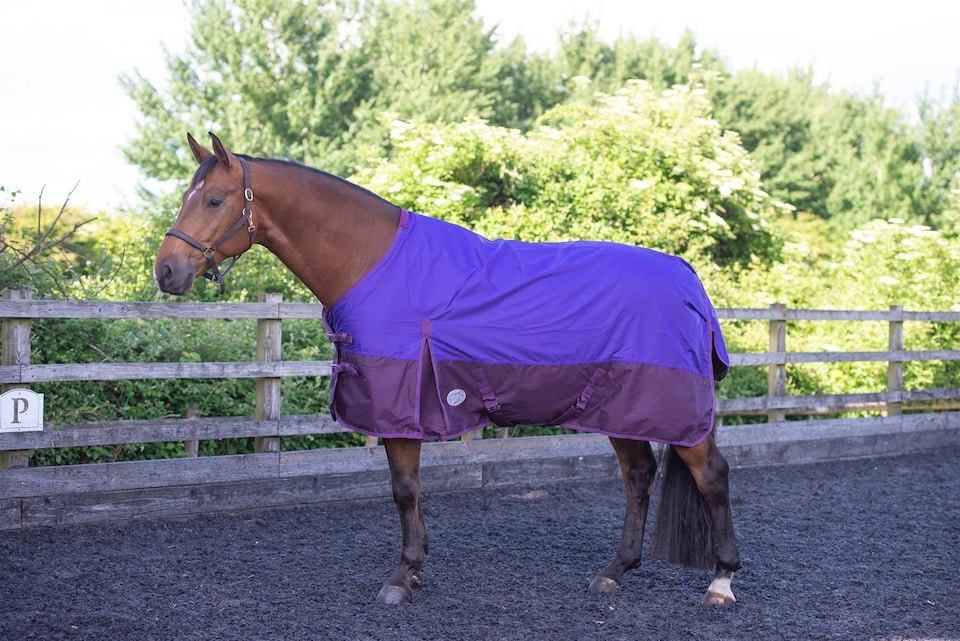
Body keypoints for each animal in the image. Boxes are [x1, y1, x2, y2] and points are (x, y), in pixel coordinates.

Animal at [154, 132, 741, 606]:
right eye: (186, 197)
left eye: (213, 199)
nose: (166, 271)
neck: (371, 261)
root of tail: (688, 278)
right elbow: (409, 491)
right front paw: (415, 571)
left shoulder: (399, 409)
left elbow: (404, 489)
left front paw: (402, 577)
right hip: (621, 411)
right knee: (639, 476)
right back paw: (615, 572)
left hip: (668, 413)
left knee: (710, 476)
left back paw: (721, 582)